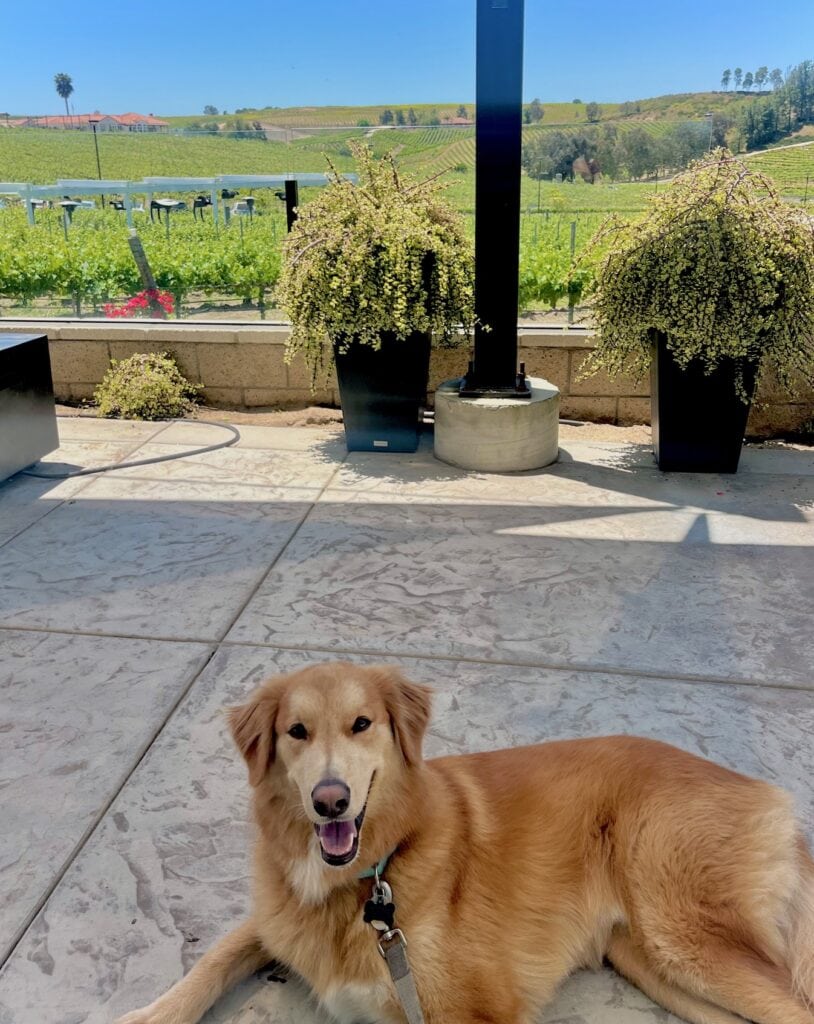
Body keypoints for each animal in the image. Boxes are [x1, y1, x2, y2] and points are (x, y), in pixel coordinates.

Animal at [114, 663, 814, 1024]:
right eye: (297, 732)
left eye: (361, 725)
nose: (330, 800)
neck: (370, 878)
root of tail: (762, 790)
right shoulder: (277, 915)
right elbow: (214, 959)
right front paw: (150, 1015)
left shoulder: (471, 1007)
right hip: (650, 962)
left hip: (684, 937)